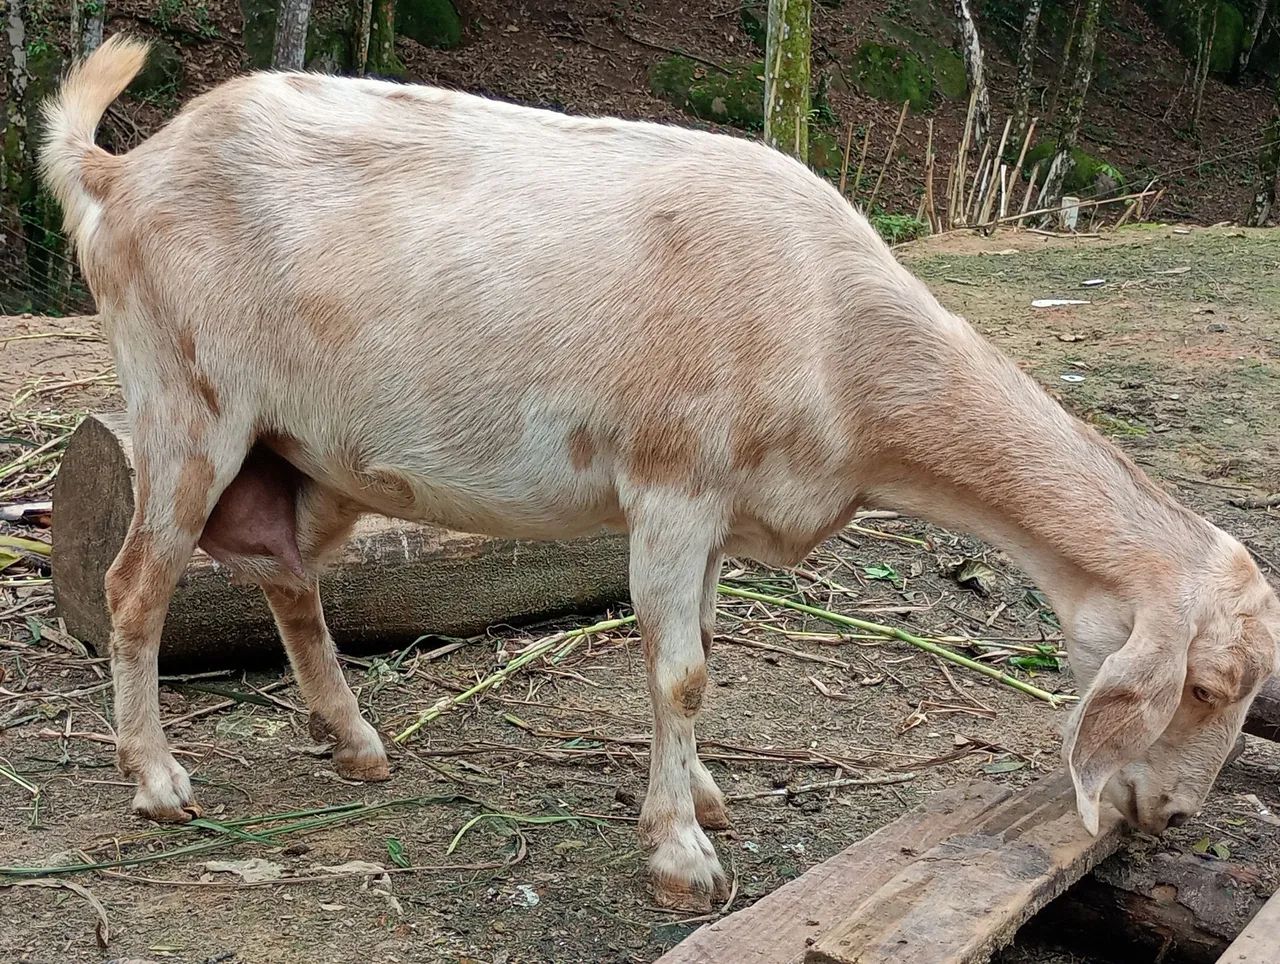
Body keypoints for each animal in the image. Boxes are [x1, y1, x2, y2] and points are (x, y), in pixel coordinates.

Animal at [41, 37, 1280, 911]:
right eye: (1207, 685)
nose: (1168, 819)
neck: (834, 333)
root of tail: (123, 168)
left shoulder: (724, 512)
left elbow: (708, 656)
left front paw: (705, 799)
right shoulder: (673, 489)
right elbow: (677, 672)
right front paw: (680, 855)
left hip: (302, 452)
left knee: (287, 577)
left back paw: (354, 744)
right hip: (183, 409)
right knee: (133, 586)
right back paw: (157, 783)